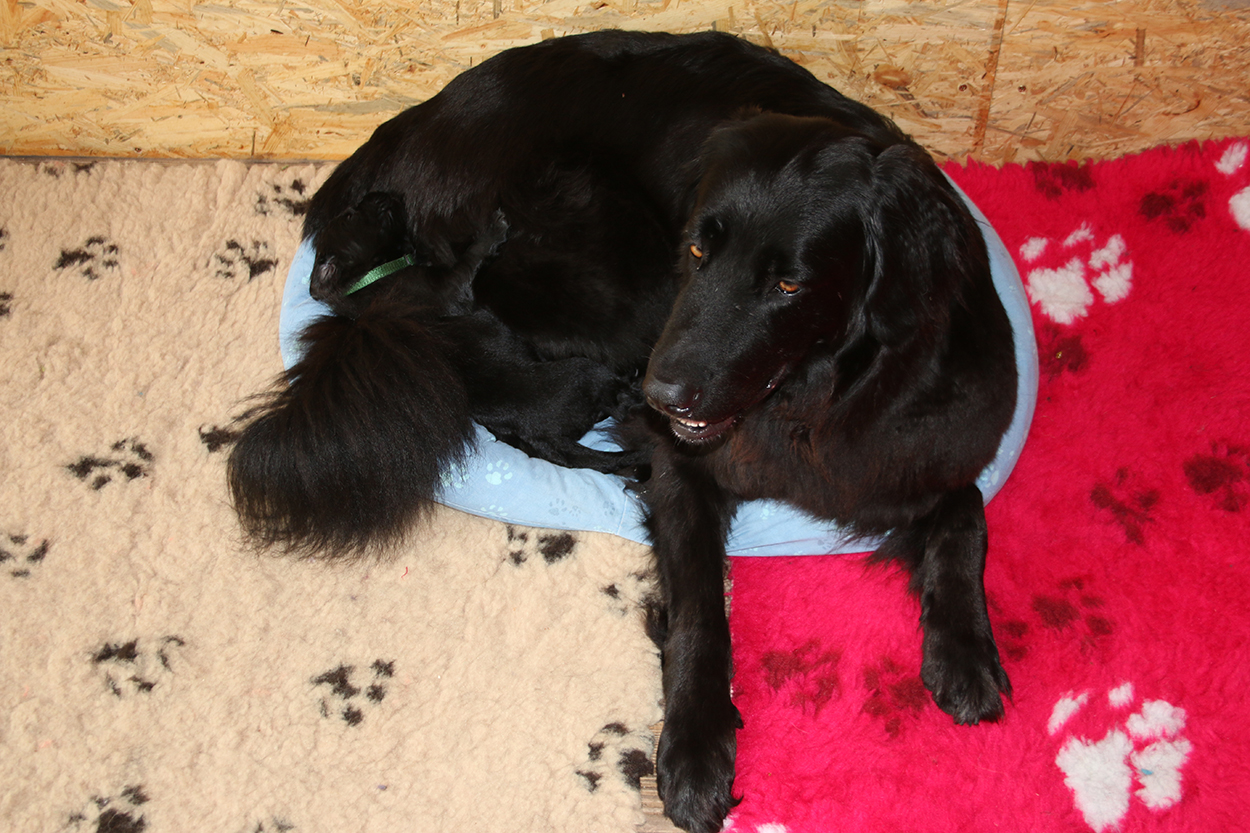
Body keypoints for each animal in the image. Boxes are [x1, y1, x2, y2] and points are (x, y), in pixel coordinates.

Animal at [227, 31, 1018, 833]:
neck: (804, 399)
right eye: (697, 249)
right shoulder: (683, 463)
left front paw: (965, 649)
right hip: (613, 278)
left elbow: (965, 512)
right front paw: (696, 749)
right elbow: (700, 607)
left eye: (789, 284)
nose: (661, 394)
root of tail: (396, 138)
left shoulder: (909, 450)